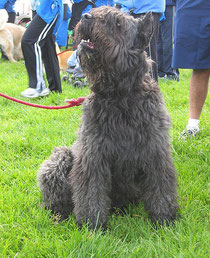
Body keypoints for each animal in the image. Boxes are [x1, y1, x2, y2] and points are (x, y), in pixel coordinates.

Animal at [37, 6, 179, 230]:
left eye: (118, 23)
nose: (85, 16)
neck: (120, 97)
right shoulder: (93, 155)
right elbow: (91, 192)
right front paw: (92, 226)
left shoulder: (155, 151)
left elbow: (160, 185)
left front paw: (164, 219)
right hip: (60, 159)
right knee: (56, 198)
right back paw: (58, 214)